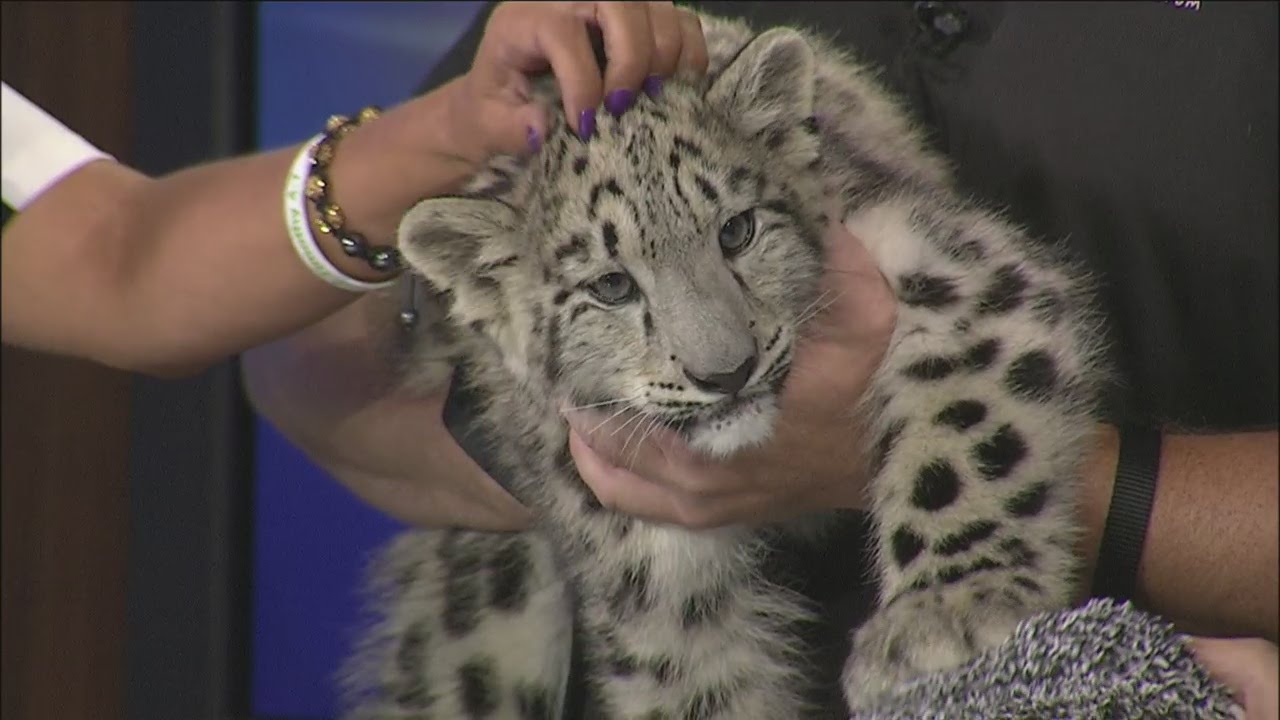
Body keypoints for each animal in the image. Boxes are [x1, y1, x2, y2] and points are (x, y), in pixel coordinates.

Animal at [339, 12, 1108, 720]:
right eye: (611, 285)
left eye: (737, 230)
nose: (726, 372)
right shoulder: (649, 559)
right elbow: (691, 677)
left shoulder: (948, 270)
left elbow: (962, 438)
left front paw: (946, 614)